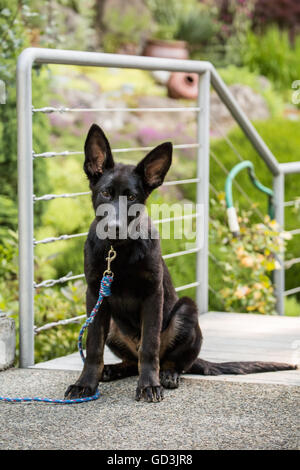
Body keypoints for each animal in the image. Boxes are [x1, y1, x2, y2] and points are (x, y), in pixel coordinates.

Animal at [64, 123, 296, 402]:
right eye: (106, 193)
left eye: (131, 197)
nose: (114, 228)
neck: (118, 251)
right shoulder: (95, 295)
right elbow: (93, 348)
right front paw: (86, 383)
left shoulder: (153, 295)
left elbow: (150, 347)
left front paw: (149, 385)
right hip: (112, 324)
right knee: (132, 361)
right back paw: (112, 370)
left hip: (186, 311)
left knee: (172, 361)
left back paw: (167, 375)